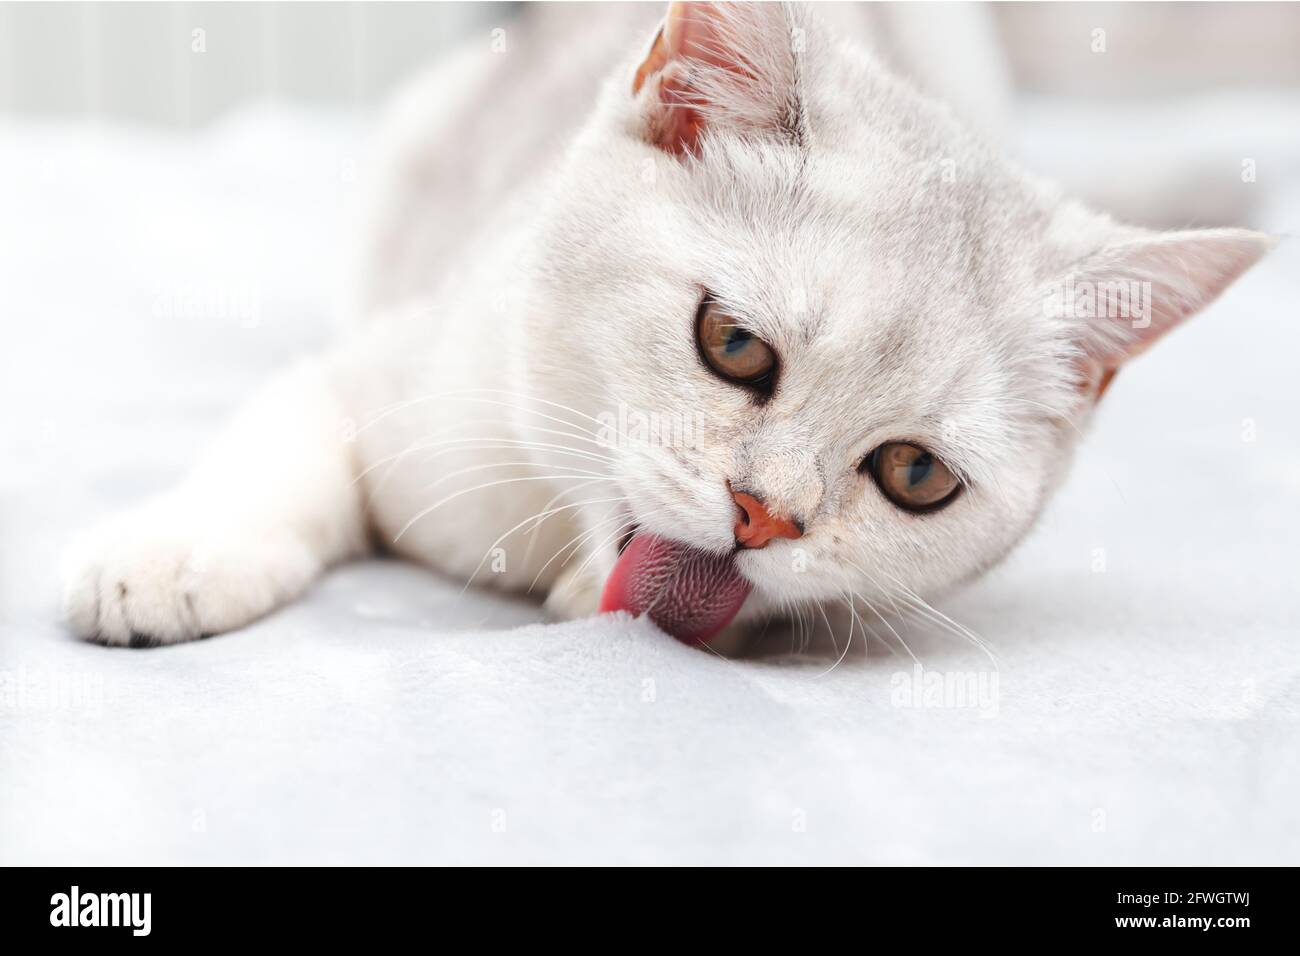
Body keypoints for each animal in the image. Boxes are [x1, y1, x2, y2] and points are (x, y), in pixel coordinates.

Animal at [63, 1, 1268, 650]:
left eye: (916, 474)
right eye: (732, 345)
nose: (763, 516)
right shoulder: (395, 372)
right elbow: (281, 442)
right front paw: (176, 555)